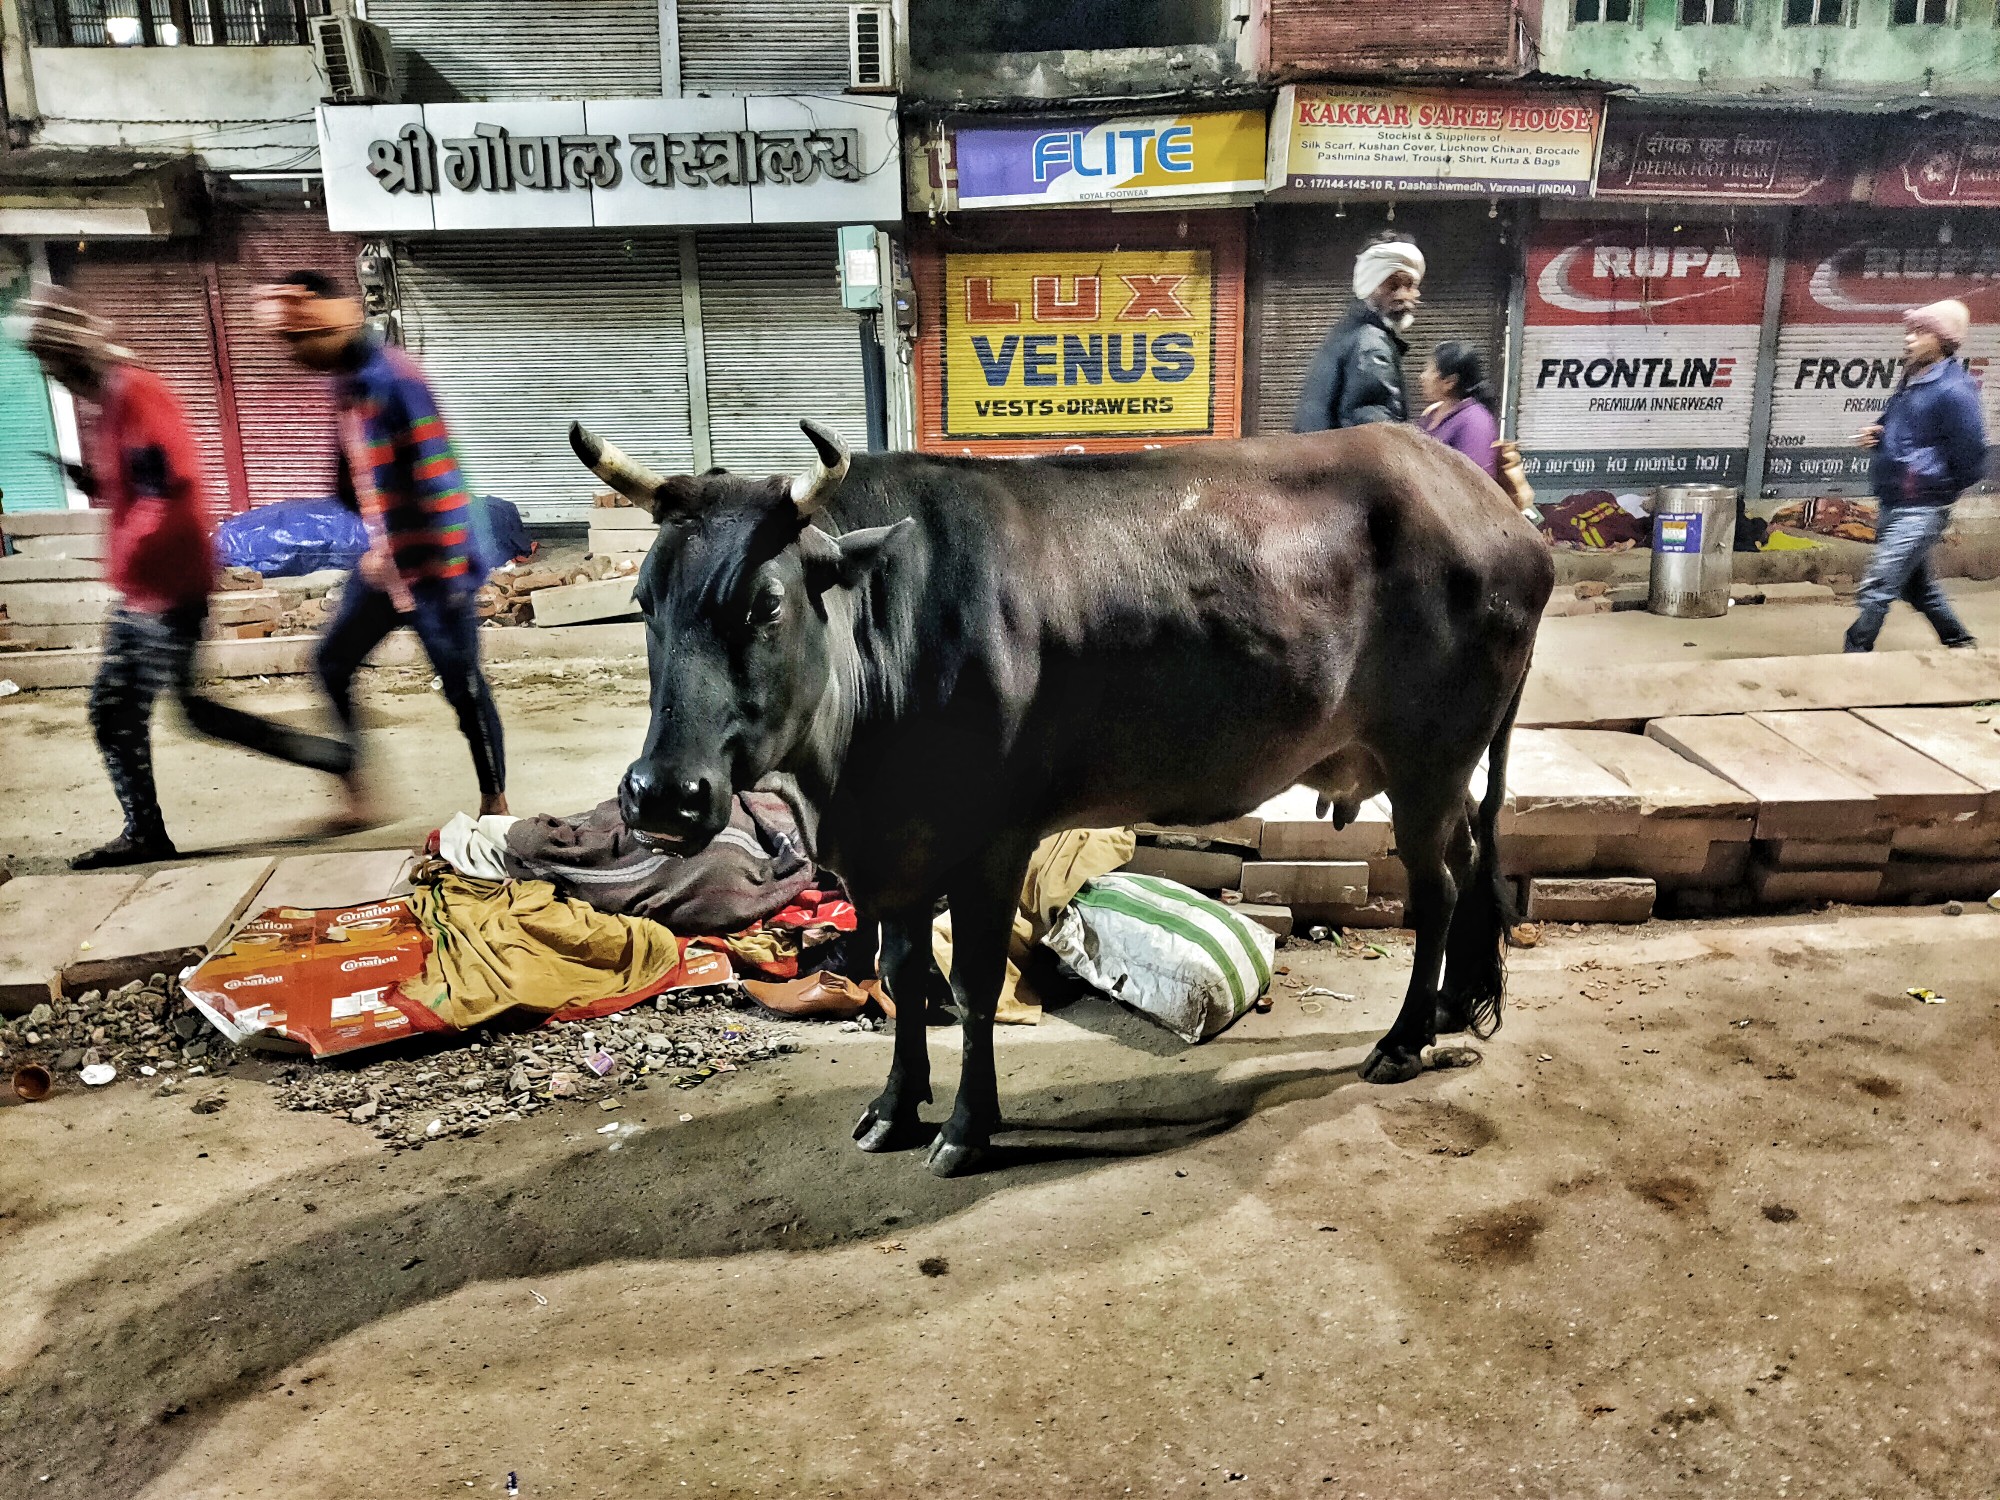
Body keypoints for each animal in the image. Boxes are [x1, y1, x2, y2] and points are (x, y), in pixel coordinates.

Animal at [572, 420, 1552, 1176]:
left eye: (766, 604)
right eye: (644, 599)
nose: (662, 795)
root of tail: (1499, 509)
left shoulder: (991, 840)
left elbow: (969, 987)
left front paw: (967, 1129)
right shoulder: (899, 849)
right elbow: (900, 974)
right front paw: (894, 1107)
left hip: (1430, 761)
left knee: (1438, 891)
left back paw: (1402, 1040)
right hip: (1442, 773)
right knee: (1466, 867)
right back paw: (1448, 1009)